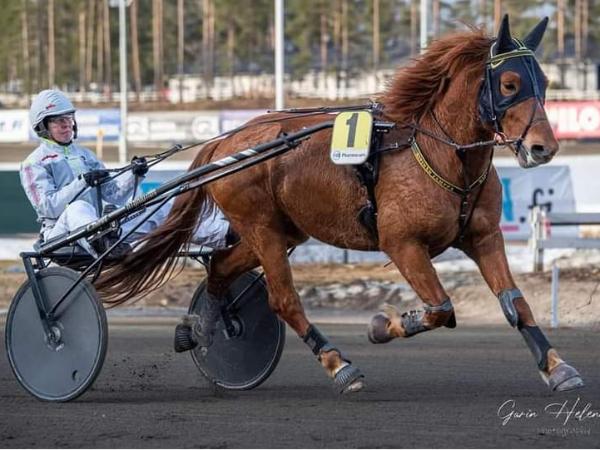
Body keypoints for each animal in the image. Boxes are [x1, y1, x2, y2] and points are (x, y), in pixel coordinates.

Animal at [96, 15, 584, 394]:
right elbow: (441, 308)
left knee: (219, 267)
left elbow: (515, 304)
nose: (544, 147)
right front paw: (383, 326)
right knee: (283, 299)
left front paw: (557, 367)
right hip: (262, 228)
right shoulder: (402, 244)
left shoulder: (483, 236)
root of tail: (226, 143)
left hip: (279, 229)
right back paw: (338, 363)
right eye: (510, 83)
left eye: (544, 82)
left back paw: (202, 327)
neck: (442, 154)